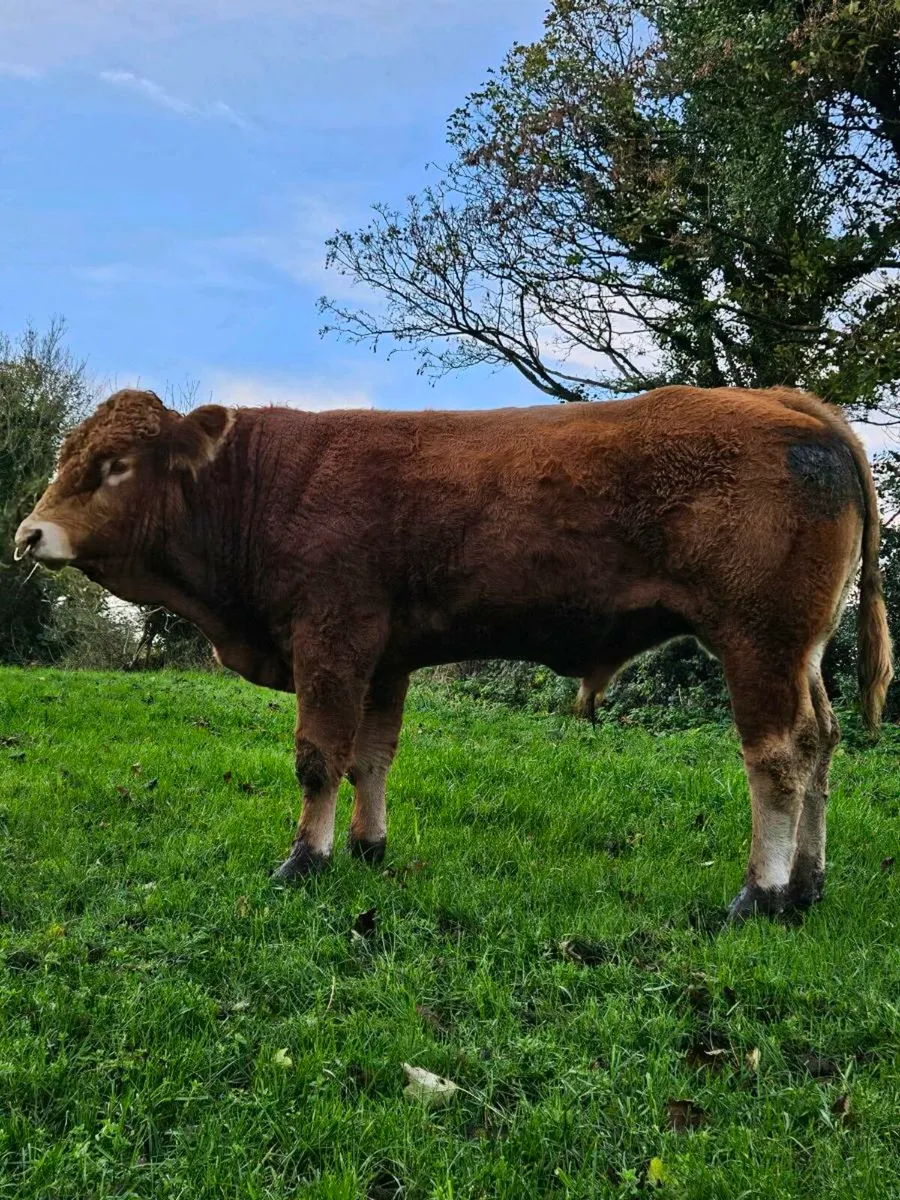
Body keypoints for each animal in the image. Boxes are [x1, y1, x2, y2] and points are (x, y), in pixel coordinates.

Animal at [14, 385, 893, 919]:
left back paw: (761, 894)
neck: (263, 488)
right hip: (801, 652)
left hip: (759, 640)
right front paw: (367, 847)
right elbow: (370, 757)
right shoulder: (384, 658)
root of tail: (786, 400)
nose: (28, 533)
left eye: (115, 466)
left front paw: (305, 860)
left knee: (776, 759)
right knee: (820, 745)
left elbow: (318, 758)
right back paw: (807, 884)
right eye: (67, 456)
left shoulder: (331, 638)